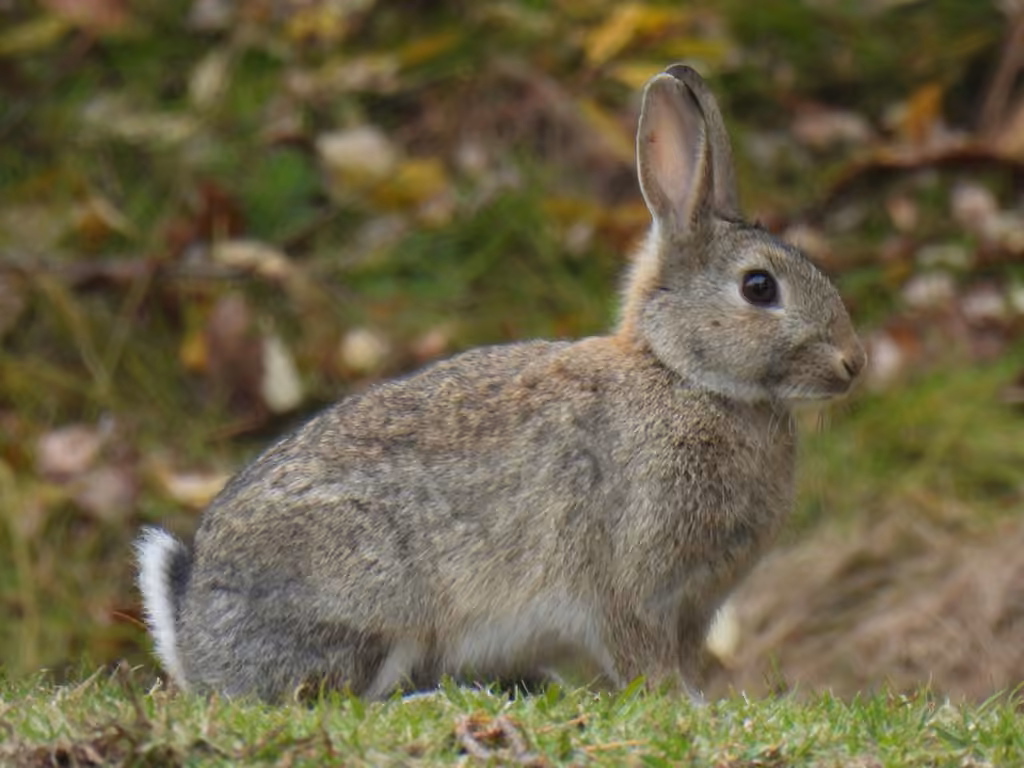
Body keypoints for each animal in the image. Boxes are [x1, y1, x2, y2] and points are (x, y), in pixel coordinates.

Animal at [135, 64, 866, 702]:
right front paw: (686, 705)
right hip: (371, 593)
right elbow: (644, 658)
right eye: (759, 287)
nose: (853, 363)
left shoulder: (693, 604)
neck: (683, 374)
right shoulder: (633, 581)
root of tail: (194, 640)